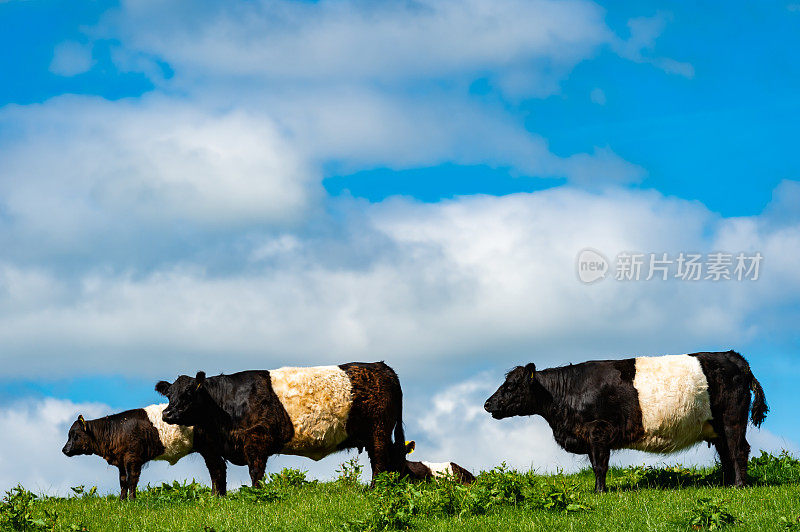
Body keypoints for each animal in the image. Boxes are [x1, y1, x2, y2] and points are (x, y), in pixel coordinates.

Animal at [61, 404, 193, 498]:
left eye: (76, 435)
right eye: (69, 434)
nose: (64, 449)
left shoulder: (133, 458)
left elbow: (132, 480)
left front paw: (132, 500)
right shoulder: (121, 460)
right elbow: (123, 481)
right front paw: (122, 500)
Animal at [155, 362, 406, 494]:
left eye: (189, 393)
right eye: (169, 394)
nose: (167, 414)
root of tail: (382, 367)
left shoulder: (256, 439)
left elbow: (255, 471)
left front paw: (256, 494)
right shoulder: (212, 449)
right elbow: (217, 475)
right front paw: (219, 499)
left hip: (379, 430)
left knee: (380, 461)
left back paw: (375, 489)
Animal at [482, 352, 768, 492]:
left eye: (512, 385)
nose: (487, 404)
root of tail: (735, 357)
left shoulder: (597, 432)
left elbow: (599, 466)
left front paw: (599, 492)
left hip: (732, 419)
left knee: (738, 450)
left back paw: (740, 486)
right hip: (717, 426)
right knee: (726, 453)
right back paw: (727, 485)